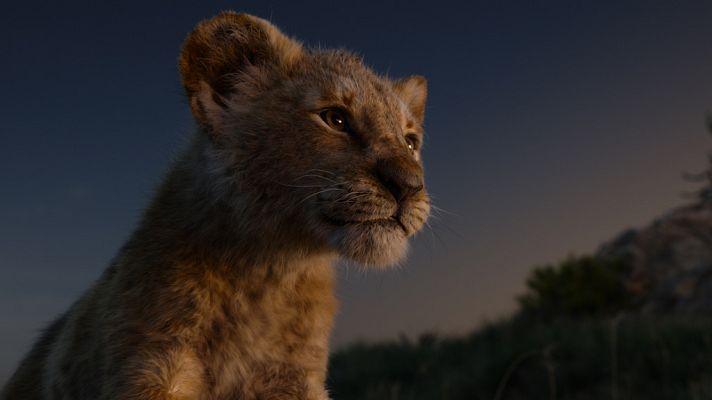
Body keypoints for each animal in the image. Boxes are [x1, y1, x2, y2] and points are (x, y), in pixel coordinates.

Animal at [1, 11, 429, 400]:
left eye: (411, 141)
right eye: (335, 119)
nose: (410, 185)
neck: (270, 274)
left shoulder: (294, 377)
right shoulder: (153, 362)